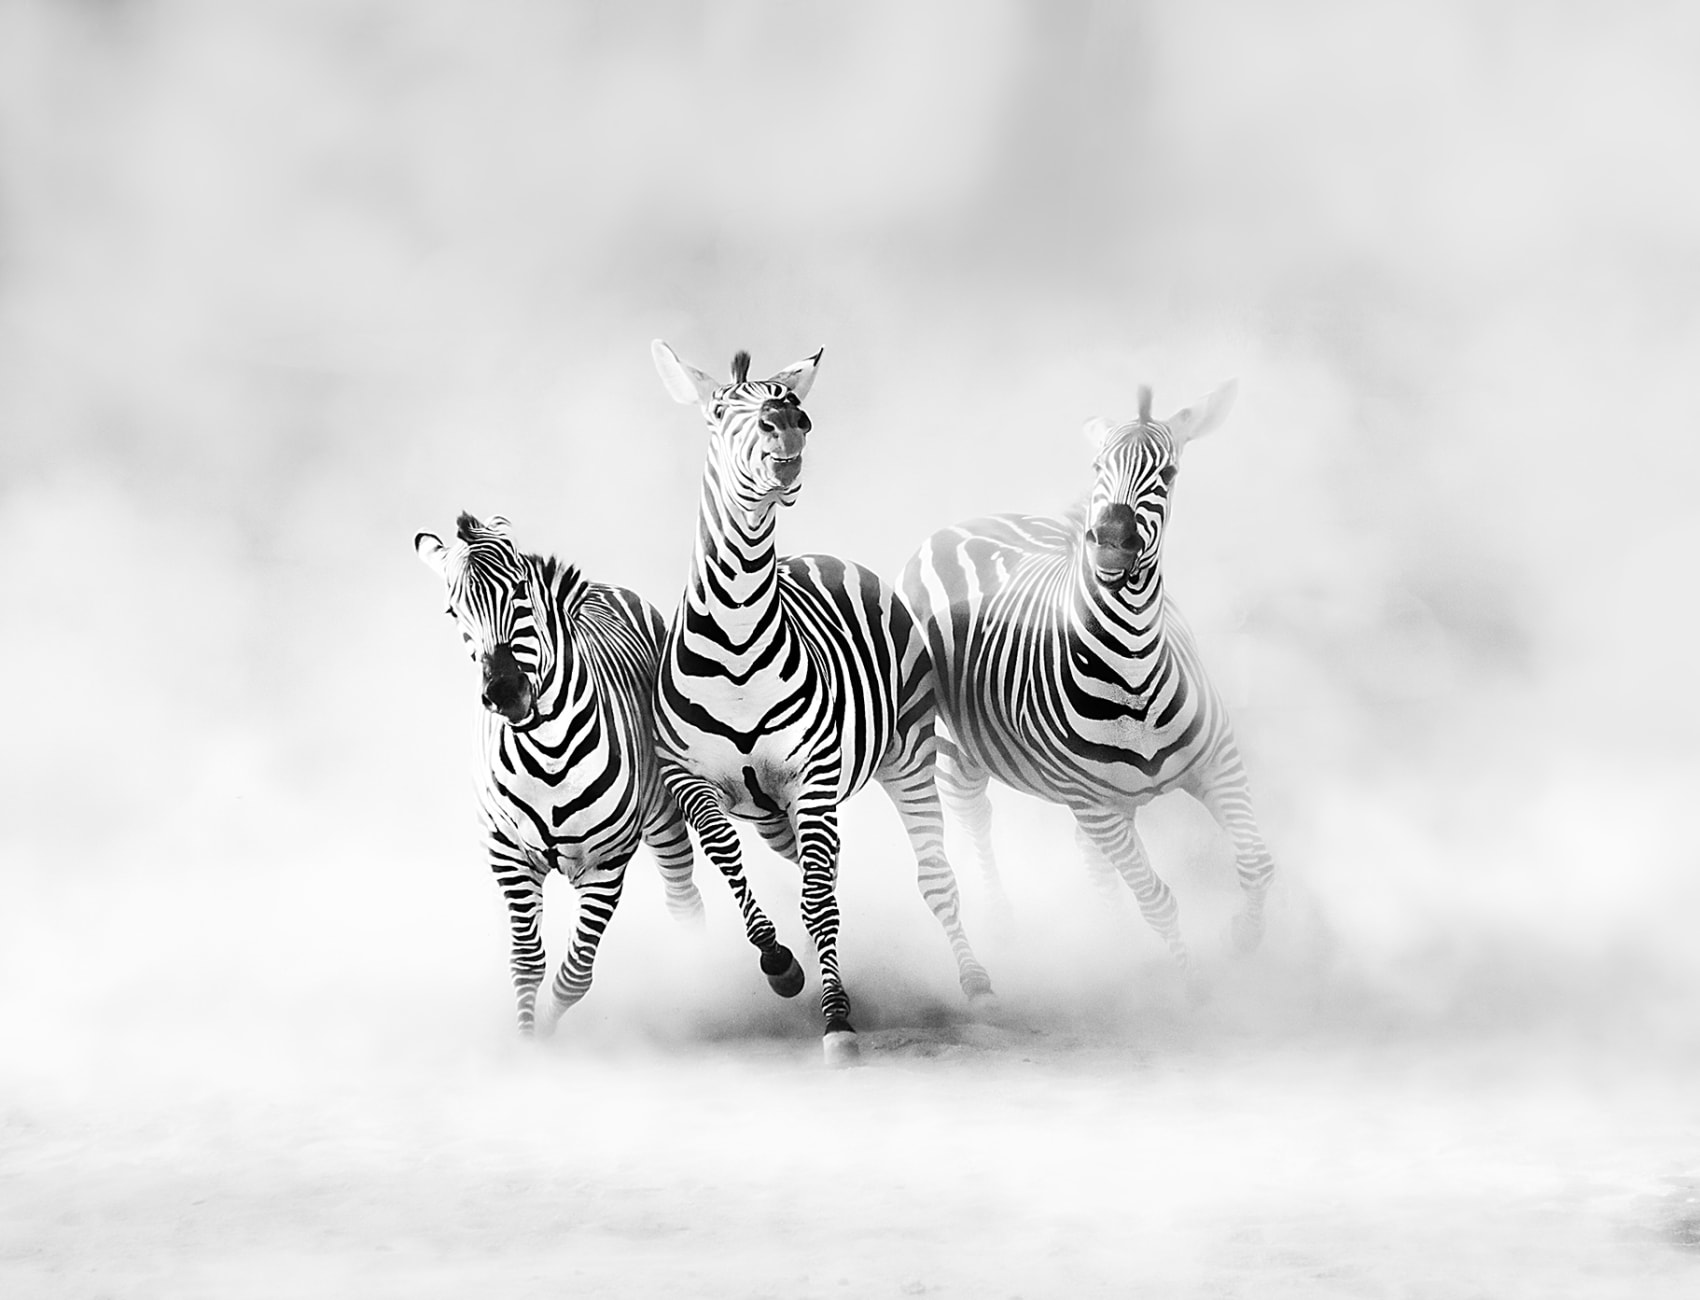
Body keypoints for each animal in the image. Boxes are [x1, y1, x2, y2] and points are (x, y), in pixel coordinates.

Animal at [414, 511, 703, 1036]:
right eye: (453, 612)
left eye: (520, 591)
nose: (504, 692)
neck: (547, 751)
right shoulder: (508, 856)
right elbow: (527, 962)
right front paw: (531, 1041)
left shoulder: (607, 862)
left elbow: (575, 975)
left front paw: (547, 1031)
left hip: (664, 816)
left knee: (684, 900)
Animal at [651, 341, 994, 1063]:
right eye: (718, 411)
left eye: (790, 401)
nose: (789, 422)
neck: (737, 636)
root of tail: (826, 557)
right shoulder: (694, 783)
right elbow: (735, 869)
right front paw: (781, 966)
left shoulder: (811, 778)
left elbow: (817, 902)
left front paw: (837, 1017)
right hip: (775, 813)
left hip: (907, 757)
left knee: (932, 876)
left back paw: (977, 985)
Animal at [899, 382, 1276, 984]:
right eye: (1098, 466)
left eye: (1169, 472)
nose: (1111, 542)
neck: (1135, 669)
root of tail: (962, 524)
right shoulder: (1093, 803)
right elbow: (1158, 899)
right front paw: (1192, 986)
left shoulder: (1217, 761)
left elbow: (1256, 862)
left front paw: (1243, 937)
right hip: (958, 749)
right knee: (974, 816)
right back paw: (1003, 923)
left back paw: (1115, 939)